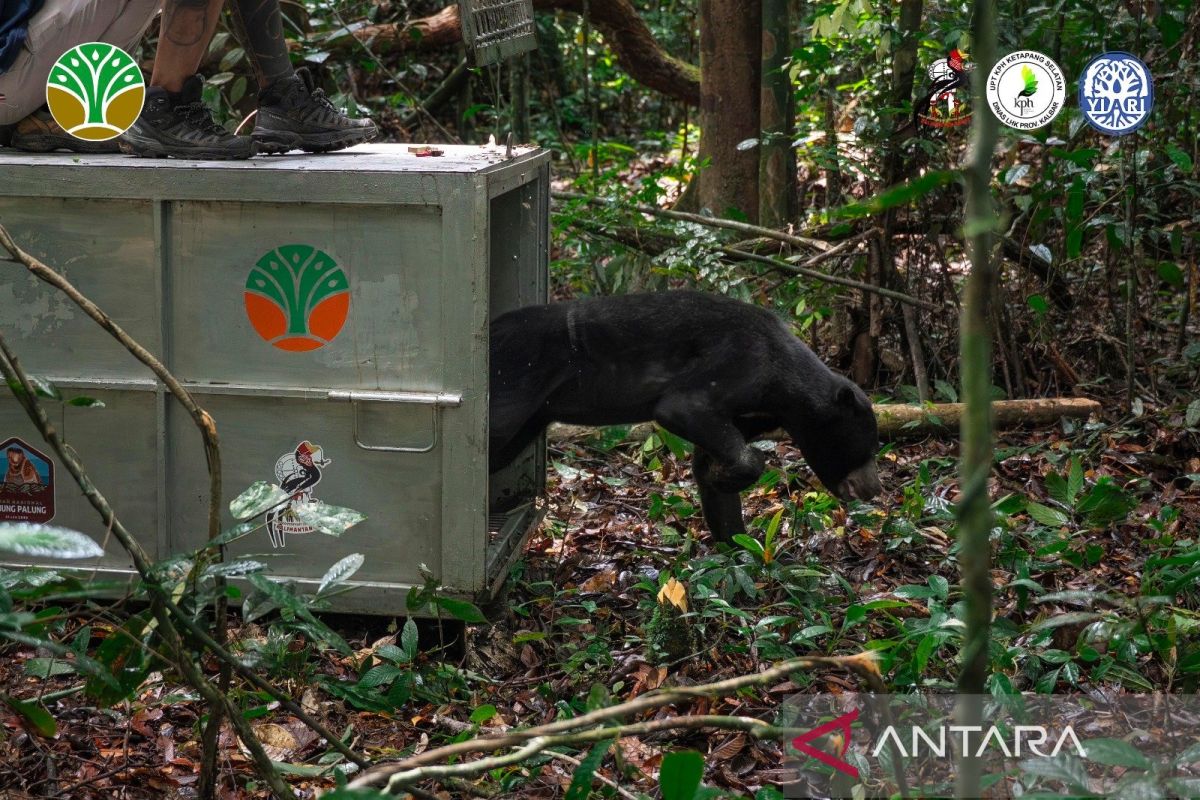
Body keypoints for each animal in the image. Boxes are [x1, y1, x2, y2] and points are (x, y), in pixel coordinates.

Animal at [488, 291, 882, 543]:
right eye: (868, 447)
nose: (875, 489)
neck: (787, 394)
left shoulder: (753, 414)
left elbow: (709, 463)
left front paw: (738, 545)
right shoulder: (737, 367)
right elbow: (681, 408)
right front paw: (729, 478)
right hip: (512, 382)